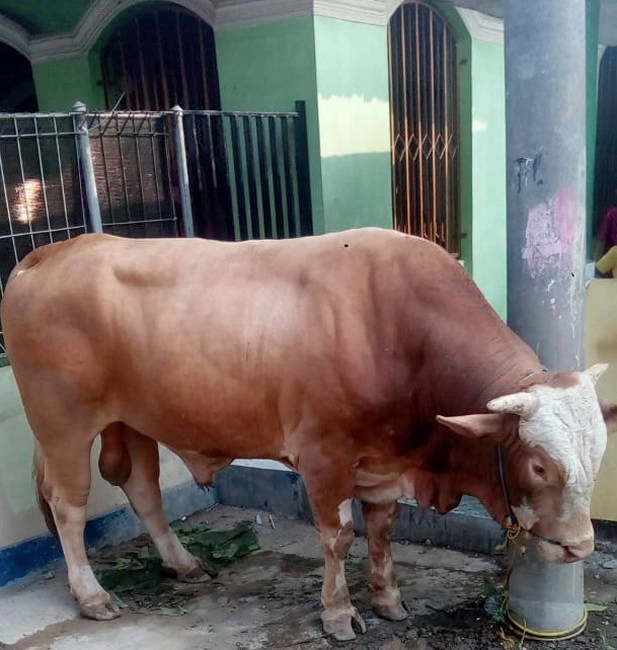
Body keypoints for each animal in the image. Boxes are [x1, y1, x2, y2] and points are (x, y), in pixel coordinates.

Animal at [1, 227, 615, 642]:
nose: (581, 545)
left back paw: (183, 564)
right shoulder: (324, 457)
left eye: (598, 454)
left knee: (144, 491)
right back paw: (92, 594)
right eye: (539, 464)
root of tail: (49, 253)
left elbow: (382, 531)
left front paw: (388, 598)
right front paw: (339, 612)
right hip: (63, 423)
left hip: (132, 421)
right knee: (68, 506)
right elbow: (338, 537)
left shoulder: (382, 462)